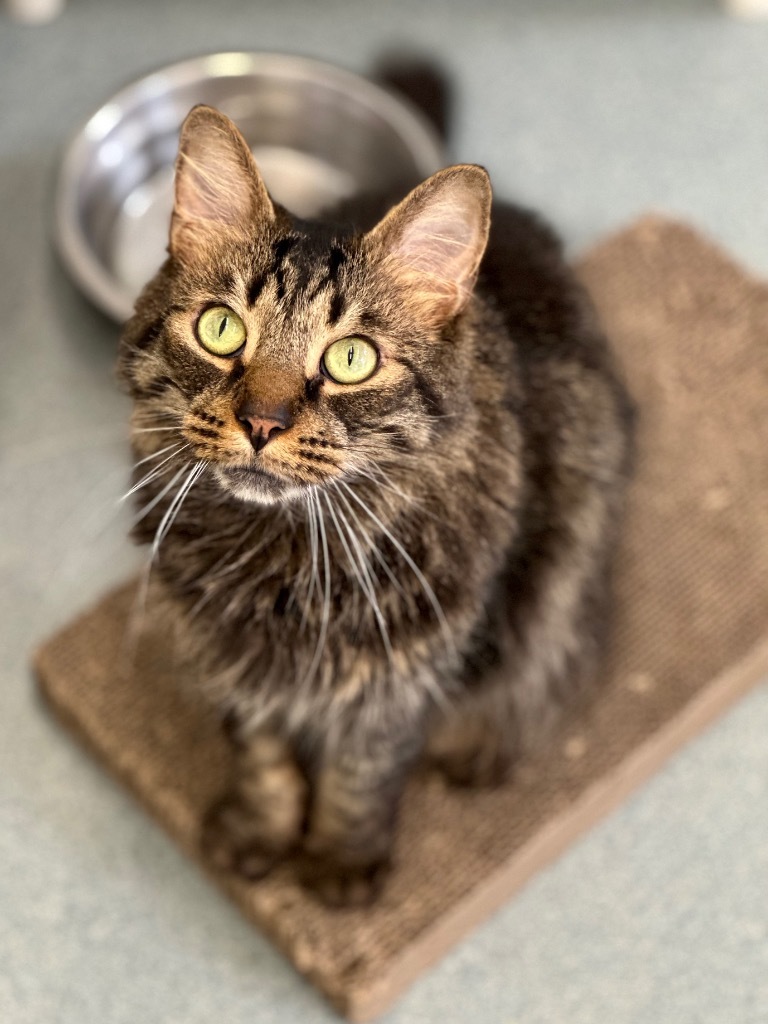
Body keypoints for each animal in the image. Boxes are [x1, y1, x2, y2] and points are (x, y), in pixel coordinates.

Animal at [118, 101, 638, 905]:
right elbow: (260, 753)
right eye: (220, 329)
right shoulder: (226, 652)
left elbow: (360, 772)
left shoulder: (405, 672)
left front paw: (340, 863)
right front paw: (260, 832)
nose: (261, 424)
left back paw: (480, 748)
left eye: (351, 359)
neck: (285, 559)